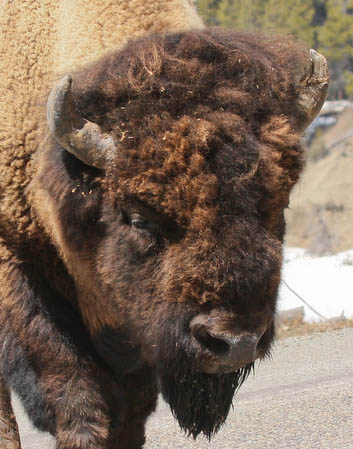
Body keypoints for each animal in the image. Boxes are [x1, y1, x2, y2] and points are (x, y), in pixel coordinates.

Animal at [0, 21, 328, 449]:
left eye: (280, 205)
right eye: (140, 218)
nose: (235, 342)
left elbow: (130, 414)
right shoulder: (20, 268)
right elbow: (77, 398)